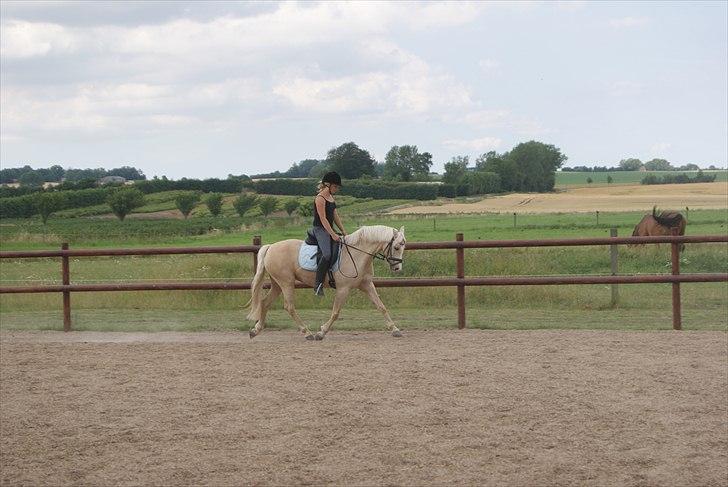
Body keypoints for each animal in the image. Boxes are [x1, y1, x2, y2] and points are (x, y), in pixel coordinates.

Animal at [246, 225, 406, 340]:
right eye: (396, 247)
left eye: (403, 246)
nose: (397, 268)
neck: (358, 254)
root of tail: (271, 247)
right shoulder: (343, 289)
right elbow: (335, 312)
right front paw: (321, 333)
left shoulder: (366, 285)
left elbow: (381, 307)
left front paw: (395, 330)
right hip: (286, 283)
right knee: (289, 307)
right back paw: (307, 333)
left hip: (277, 284)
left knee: (265, 303)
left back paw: (255, 330)